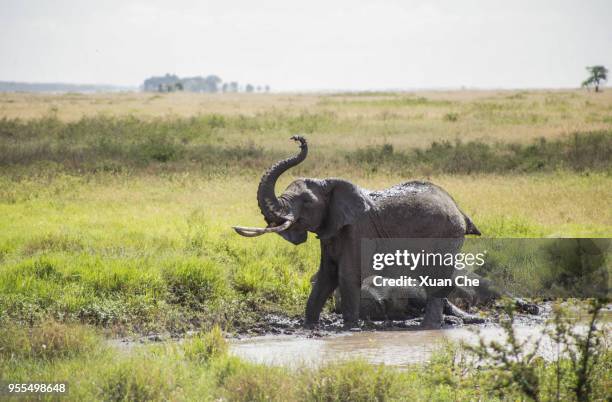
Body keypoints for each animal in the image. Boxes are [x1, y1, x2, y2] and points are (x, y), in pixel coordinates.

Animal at [232, 136, 480, 330]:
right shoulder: (331, 231)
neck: (329, 183)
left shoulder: (358, 230)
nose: (297, 139)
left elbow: (346, 275)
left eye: (307, 202)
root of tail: (459, 209)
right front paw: (309, 325)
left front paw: (350, 328)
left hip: (446, 235)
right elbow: (326, 276)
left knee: (436, 281)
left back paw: (428, 327)